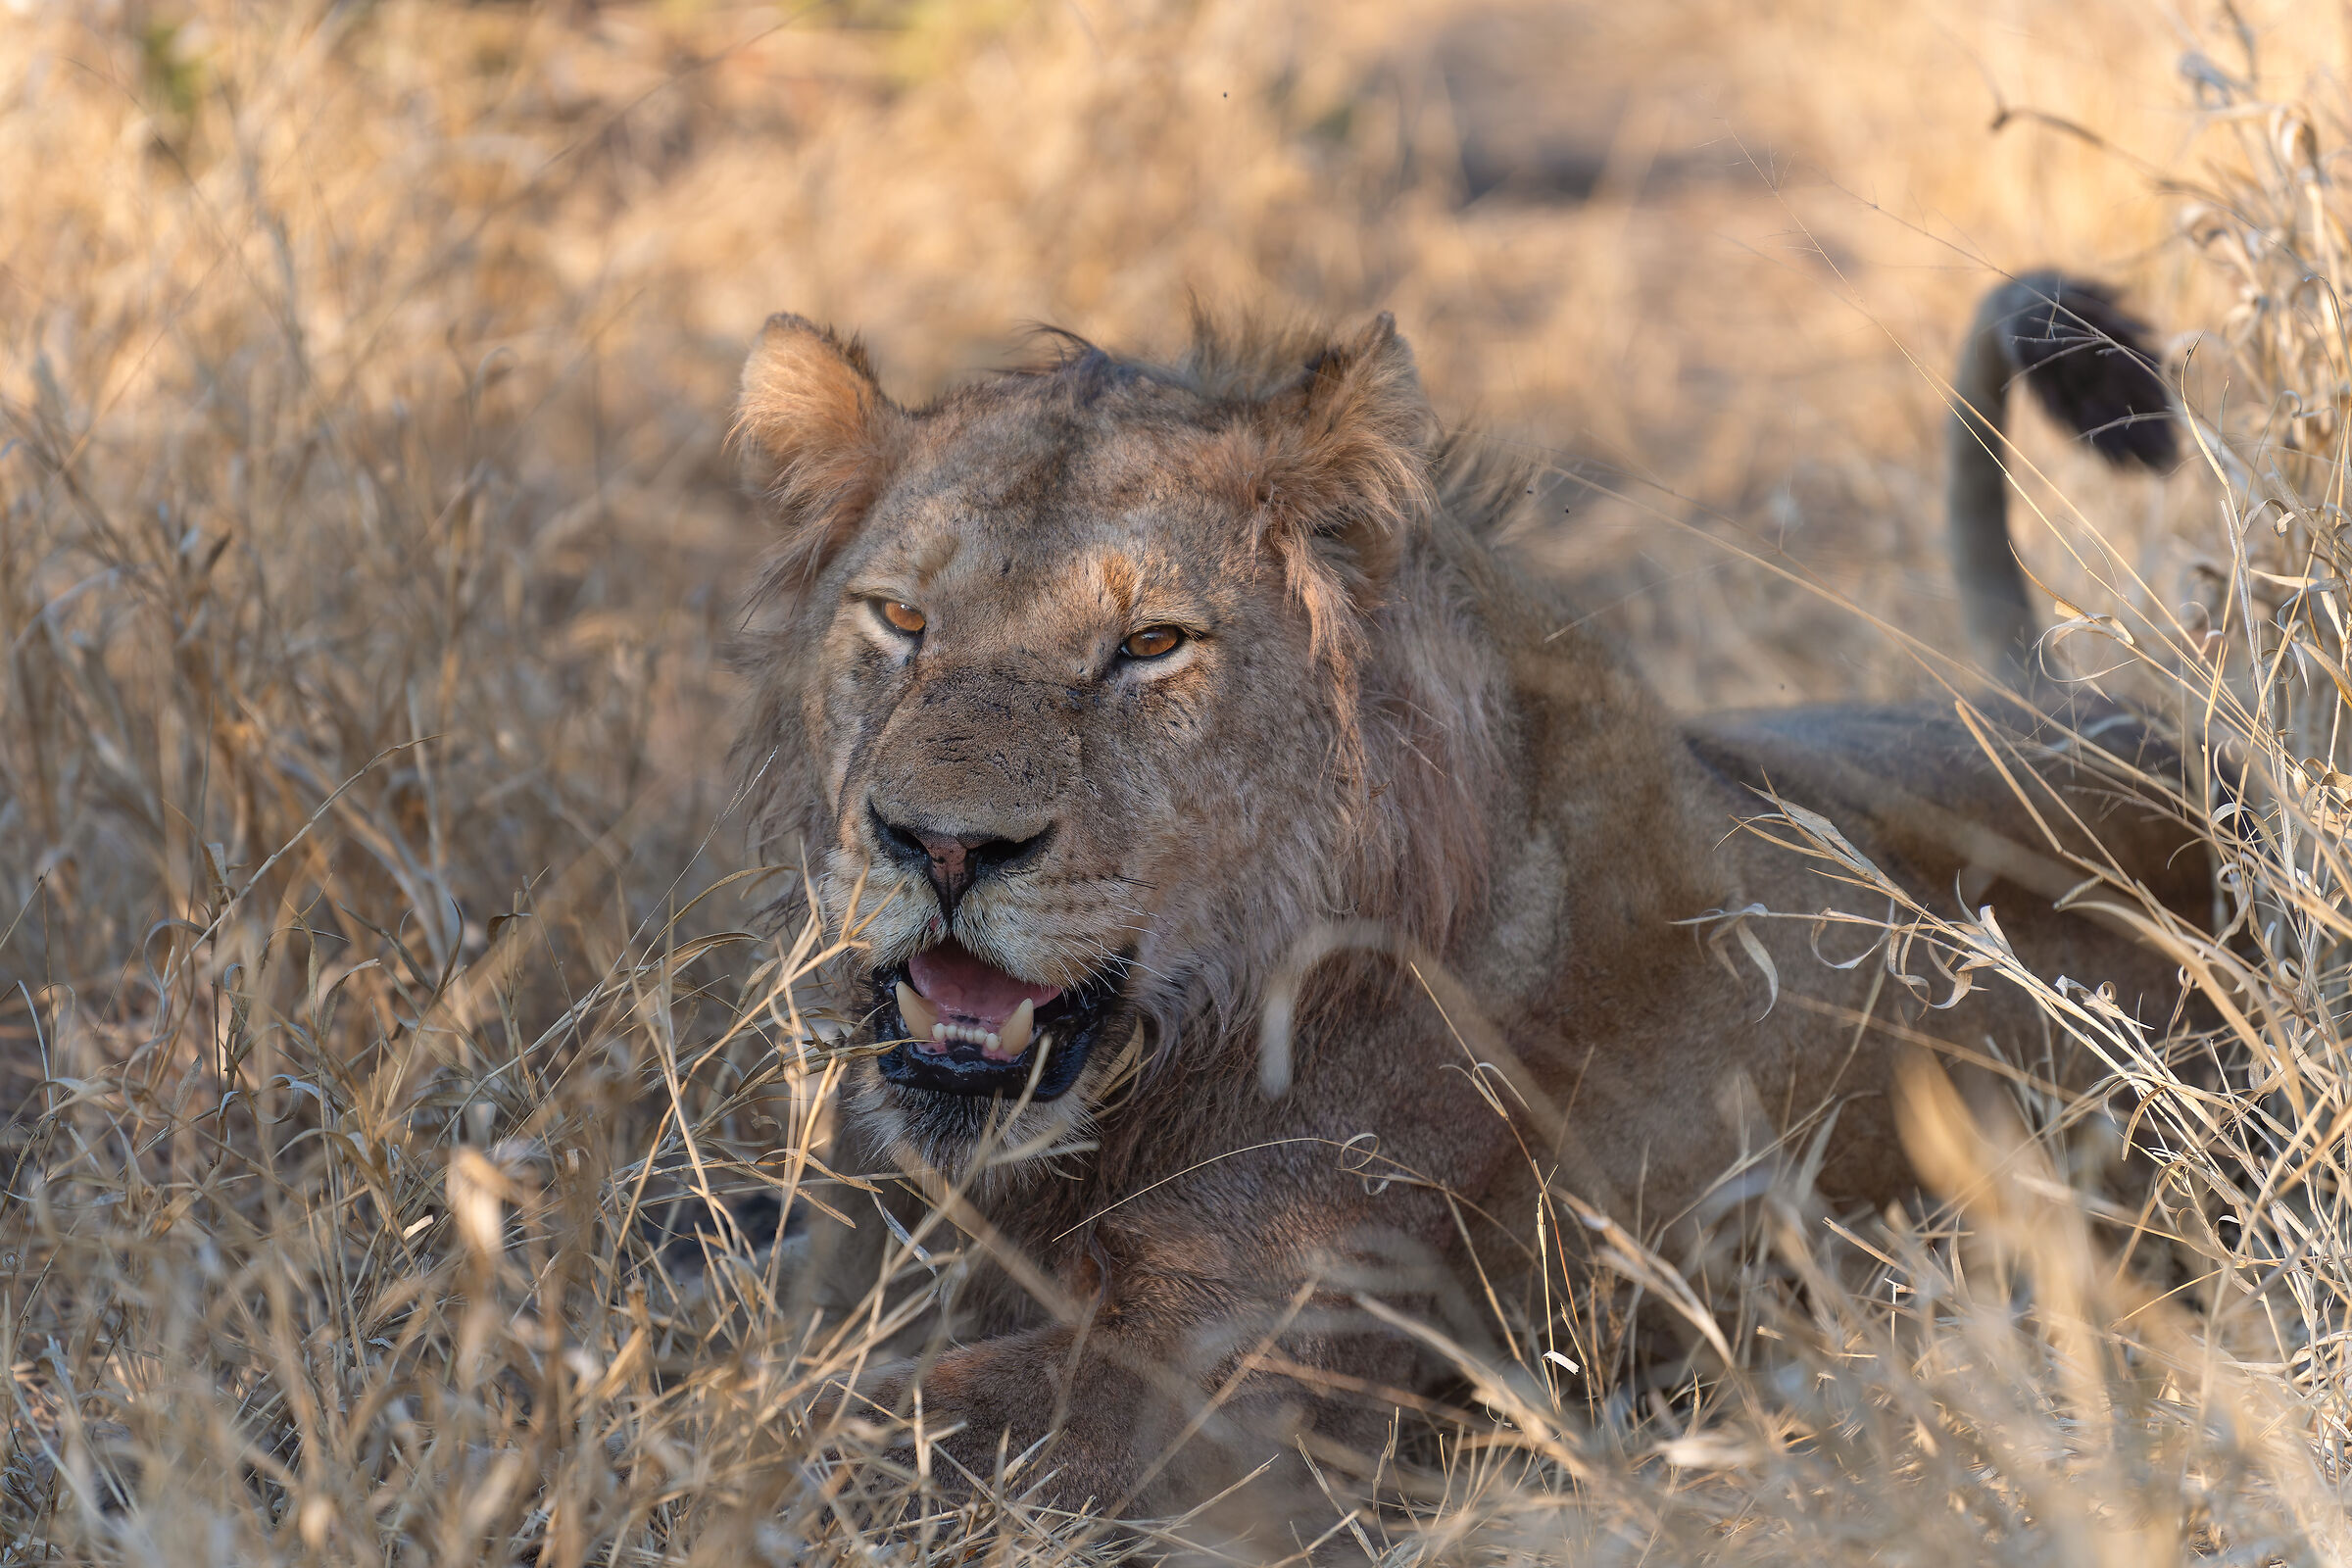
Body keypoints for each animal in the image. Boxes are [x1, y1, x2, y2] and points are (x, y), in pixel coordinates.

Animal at [726, 273, 2200, 1516]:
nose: (938, 847)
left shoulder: (1218, 1407)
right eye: (901, 621)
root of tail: (2106, 719)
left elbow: (839, 1418)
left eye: (1151, 644)